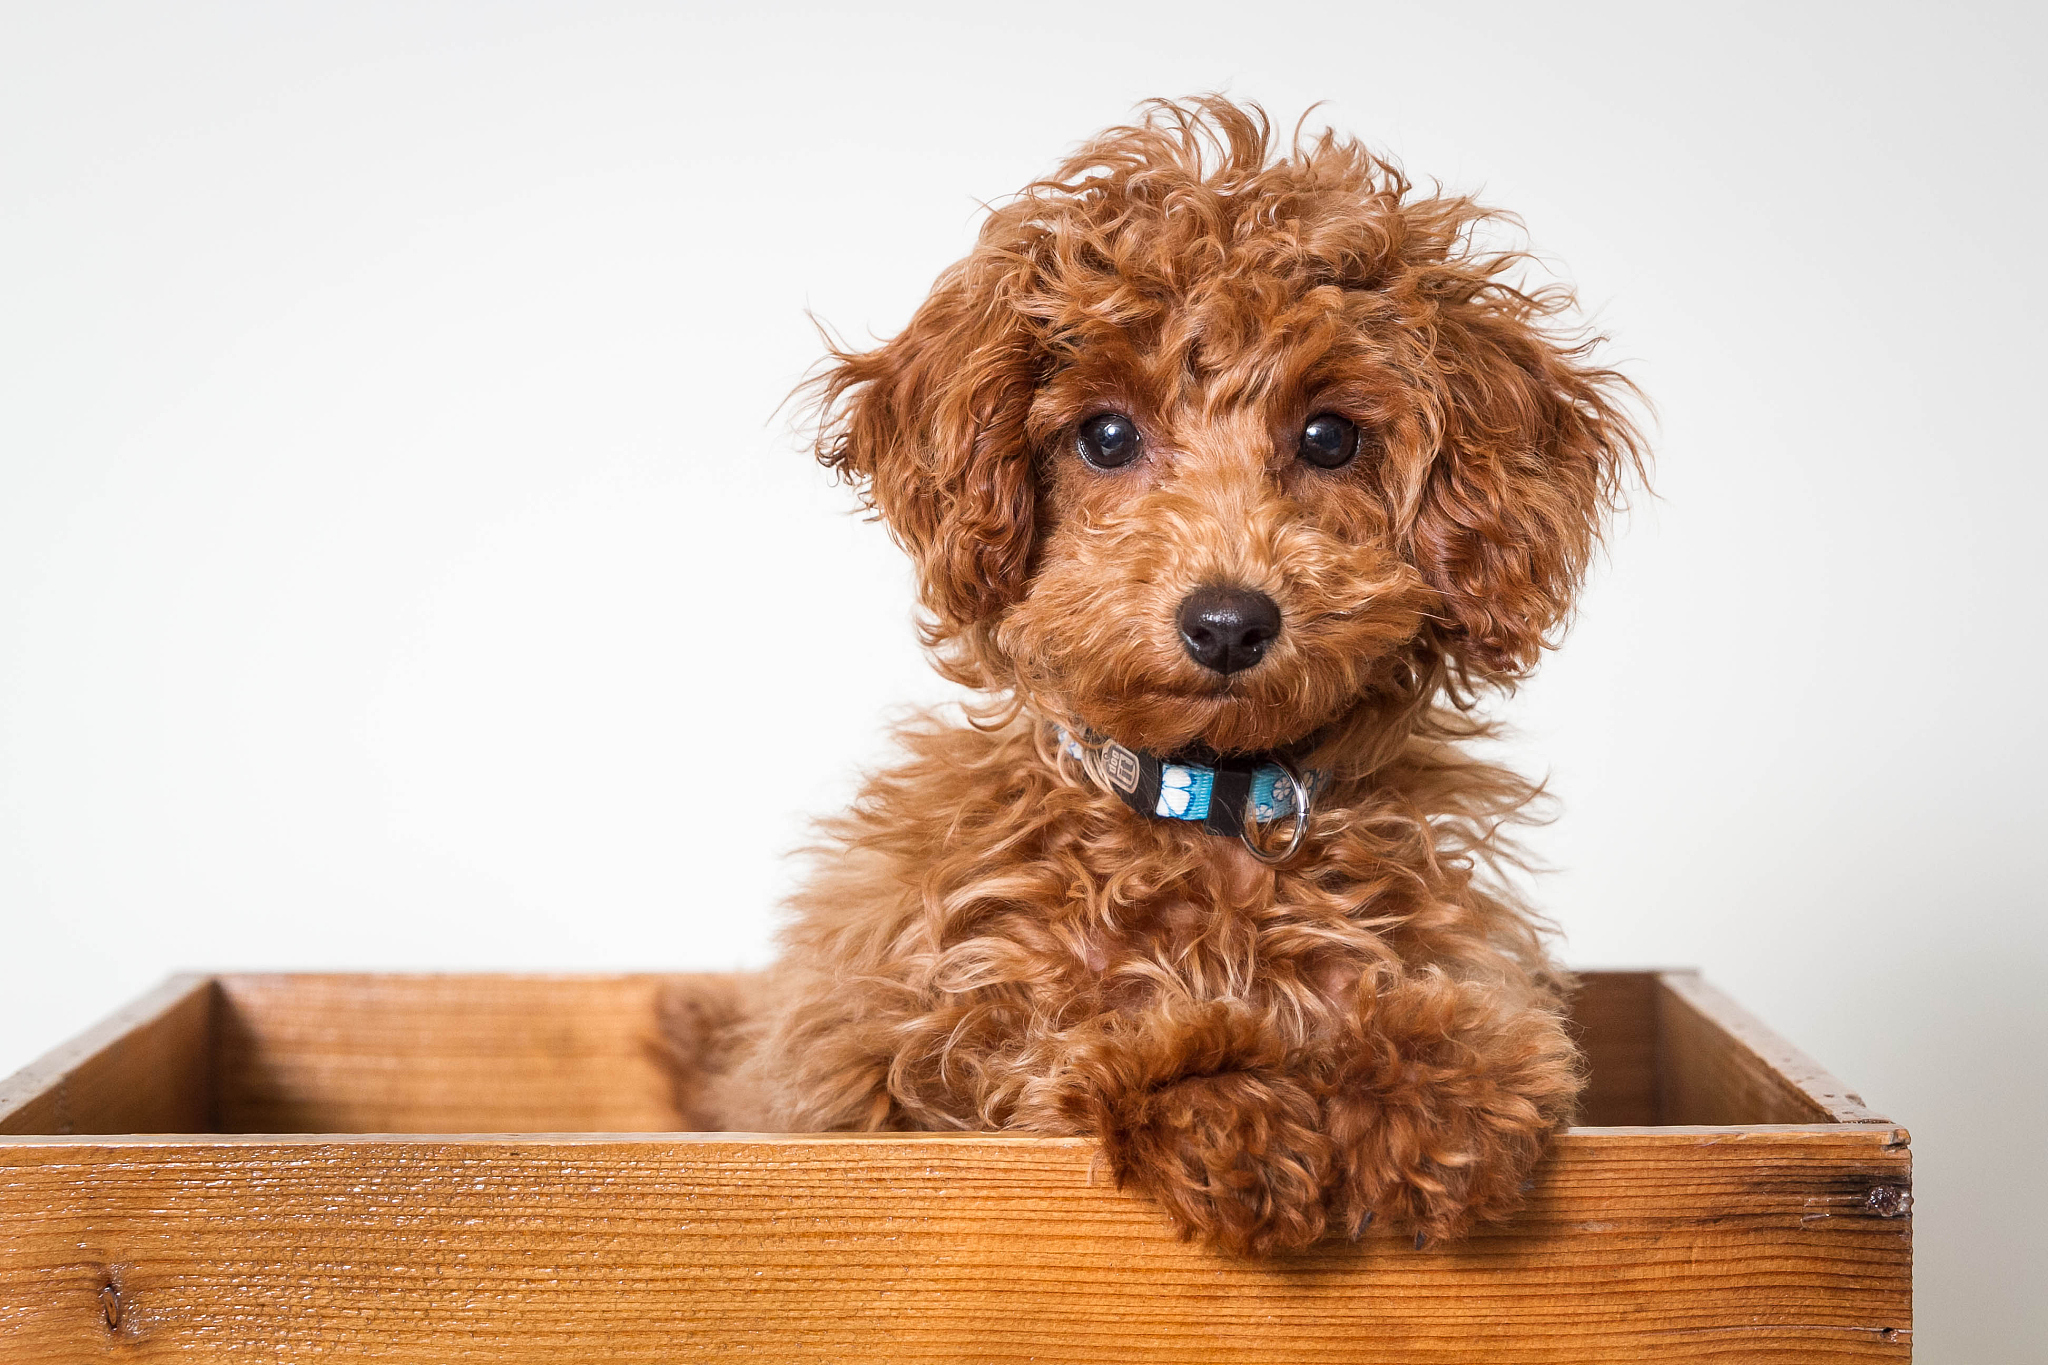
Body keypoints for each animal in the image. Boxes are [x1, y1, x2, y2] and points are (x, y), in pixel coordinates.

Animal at [671, 96, 1646, 1260]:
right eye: (1104, 434)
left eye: (1330, 435)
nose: (1226, 622)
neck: (1207, 804)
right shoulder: (911, 1048)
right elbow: (1054, 1036)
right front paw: (1218, 1085)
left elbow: (1460, 1026)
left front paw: (1436, 1077)